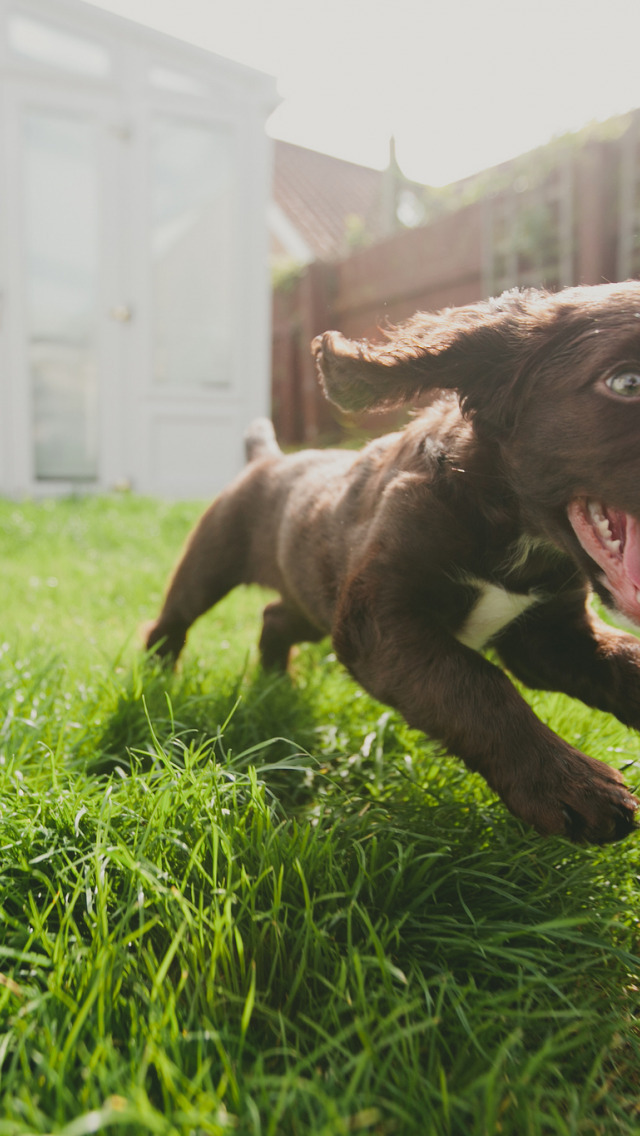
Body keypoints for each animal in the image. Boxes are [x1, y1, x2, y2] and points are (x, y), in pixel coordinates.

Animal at [146, 279, 640, 840]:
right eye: (626, 382)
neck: (511, 527)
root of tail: (268, 459)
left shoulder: (551, 635)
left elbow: (626, 660)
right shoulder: (378, 620)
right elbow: (475, 682)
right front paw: (571, 785)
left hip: (315, 600)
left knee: (274, 616)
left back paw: (276, 683)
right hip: (212, 562)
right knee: (173, 619)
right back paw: (157, 681)